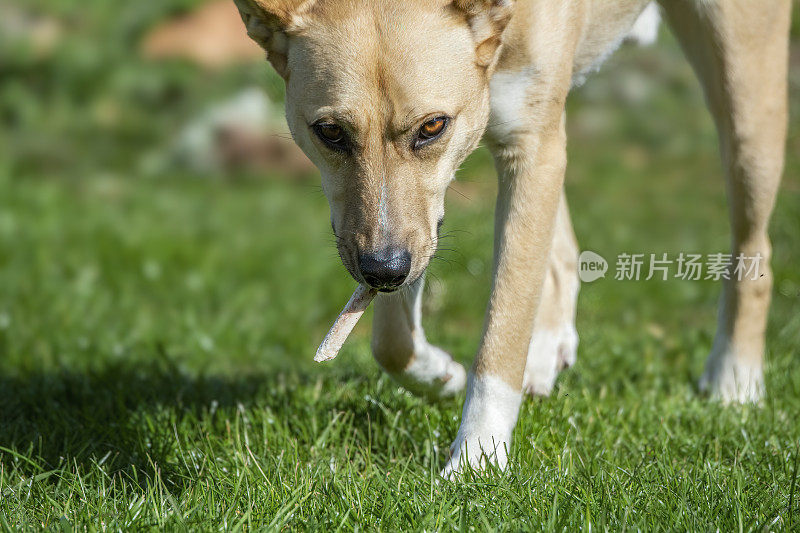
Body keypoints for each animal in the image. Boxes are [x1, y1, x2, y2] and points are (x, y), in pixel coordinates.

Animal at [234, 0, 792, 474]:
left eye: (432, 126)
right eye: (329, 132)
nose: (383, 270)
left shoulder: (527, 147)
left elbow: (503, 325)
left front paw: (475, 461)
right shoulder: (418, 218)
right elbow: (391, 338)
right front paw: (440, 374)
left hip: (745, 103)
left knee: (755, 245)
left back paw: (735, 378)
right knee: (559, 254)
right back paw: (544, 350)